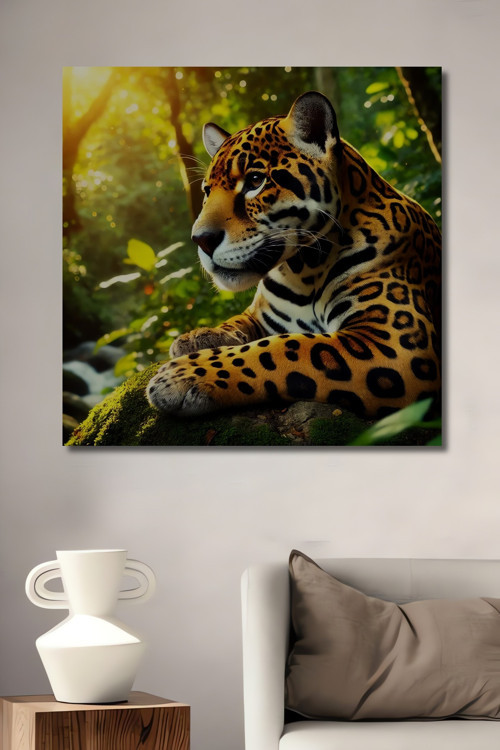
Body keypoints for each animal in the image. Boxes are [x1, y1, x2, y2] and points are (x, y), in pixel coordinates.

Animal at [147, 91, 441, 420]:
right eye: (207, 191)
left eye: (255, 181)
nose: (201, 239)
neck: (304, 271)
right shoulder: (260, 315)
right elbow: (236, 322)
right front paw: (196, 337)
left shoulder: (395, 342)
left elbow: (285, 347)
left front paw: (183, 375)